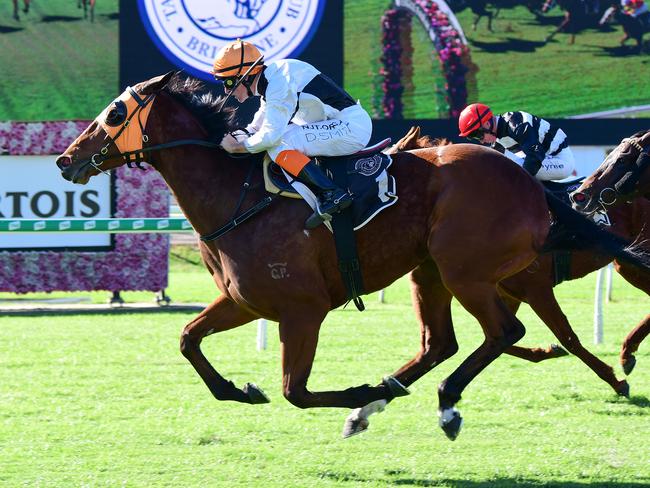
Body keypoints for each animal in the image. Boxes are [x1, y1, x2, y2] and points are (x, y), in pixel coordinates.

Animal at [55, 73, 648, 442]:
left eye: (114, 113)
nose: (66, 160)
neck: (239, 197)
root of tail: (529, 184)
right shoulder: (244, 302)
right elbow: (188, 340)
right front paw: (240, 390)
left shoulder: (302, 310)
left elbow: (295, 392)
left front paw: (356, 391)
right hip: (431, 271)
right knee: (442, 343)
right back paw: (383, 398)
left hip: (466, 271)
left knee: (503, 332)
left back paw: (440, 401)